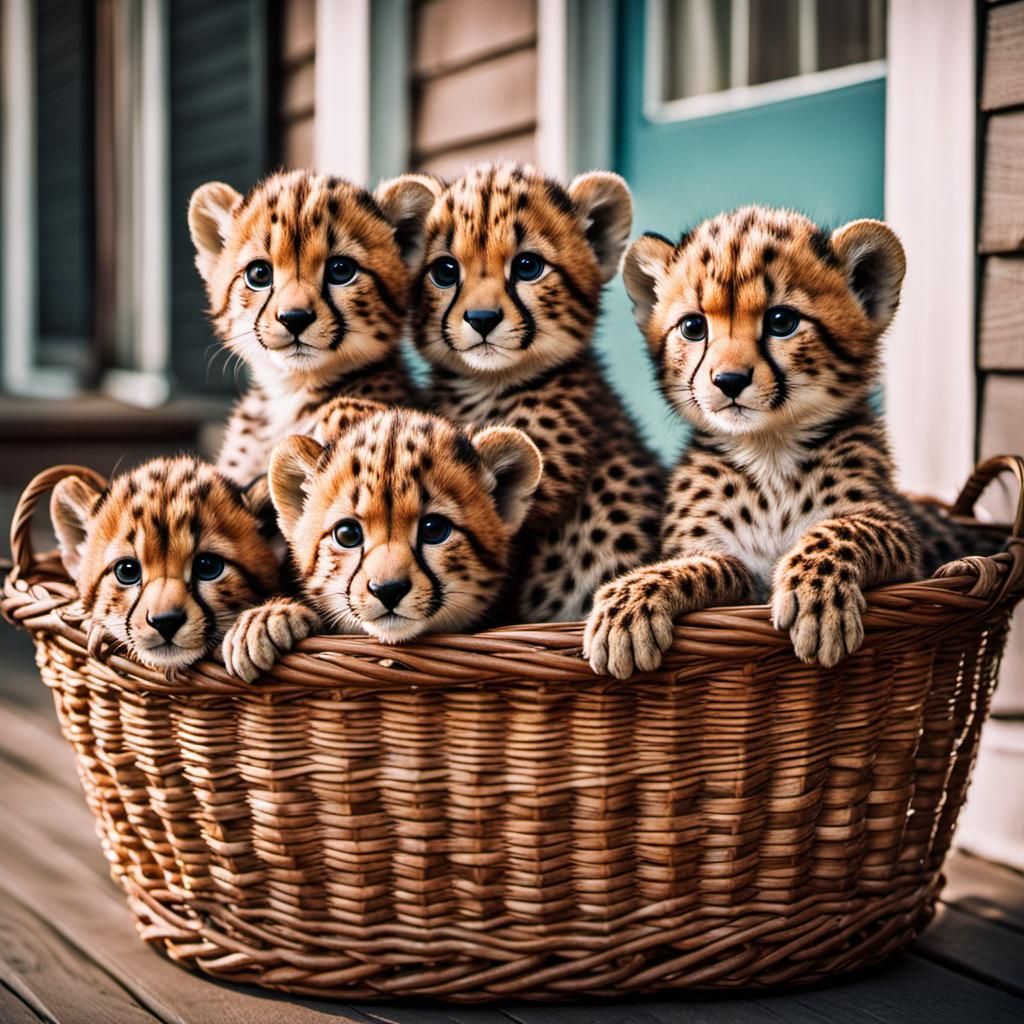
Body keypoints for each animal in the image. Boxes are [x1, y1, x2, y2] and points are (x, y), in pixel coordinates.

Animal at [584, 205, 1002, 679]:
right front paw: (628, 603)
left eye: (781, 322)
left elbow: (842, 528)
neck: (769, 449)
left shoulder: (906, 548)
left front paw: (817, 597)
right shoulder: (725, 563)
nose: (729, 381)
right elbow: (698, 564)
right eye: (693, 327)